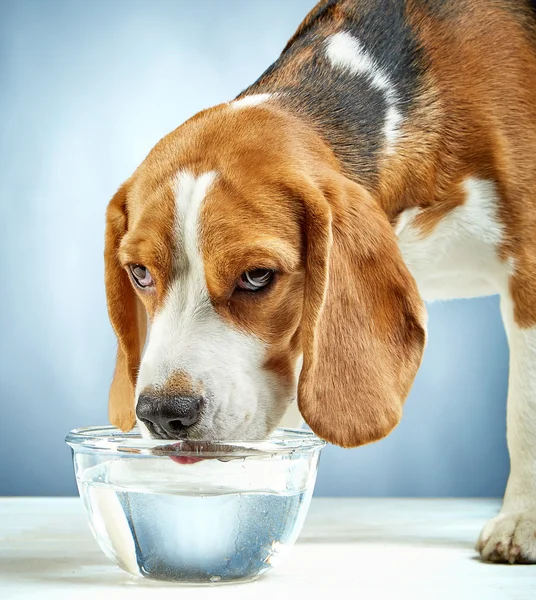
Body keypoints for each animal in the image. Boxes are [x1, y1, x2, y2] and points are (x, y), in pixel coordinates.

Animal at [103, 0, 536, 564]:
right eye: (139, 273)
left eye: (257, 276)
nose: (163, 414)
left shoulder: (530, 272)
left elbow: (525, 408)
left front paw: (522, 520)